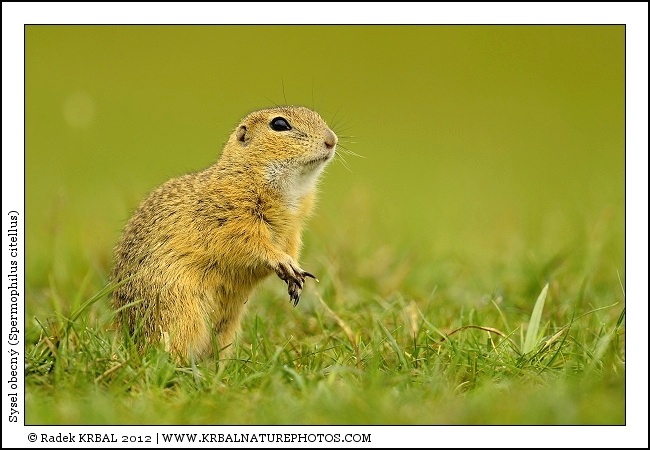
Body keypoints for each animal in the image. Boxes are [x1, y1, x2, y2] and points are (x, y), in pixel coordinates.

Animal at [111, 105, 337, 361]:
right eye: (279, 124)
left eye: (317, 115)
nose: (331, 140)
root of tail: (132, 343)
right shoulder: (231, 219)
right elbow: (250, 244)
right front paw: (283, 263)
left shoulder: (293, 230)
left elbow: (291, 247)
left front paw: (295, 273)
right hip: (180, 314)